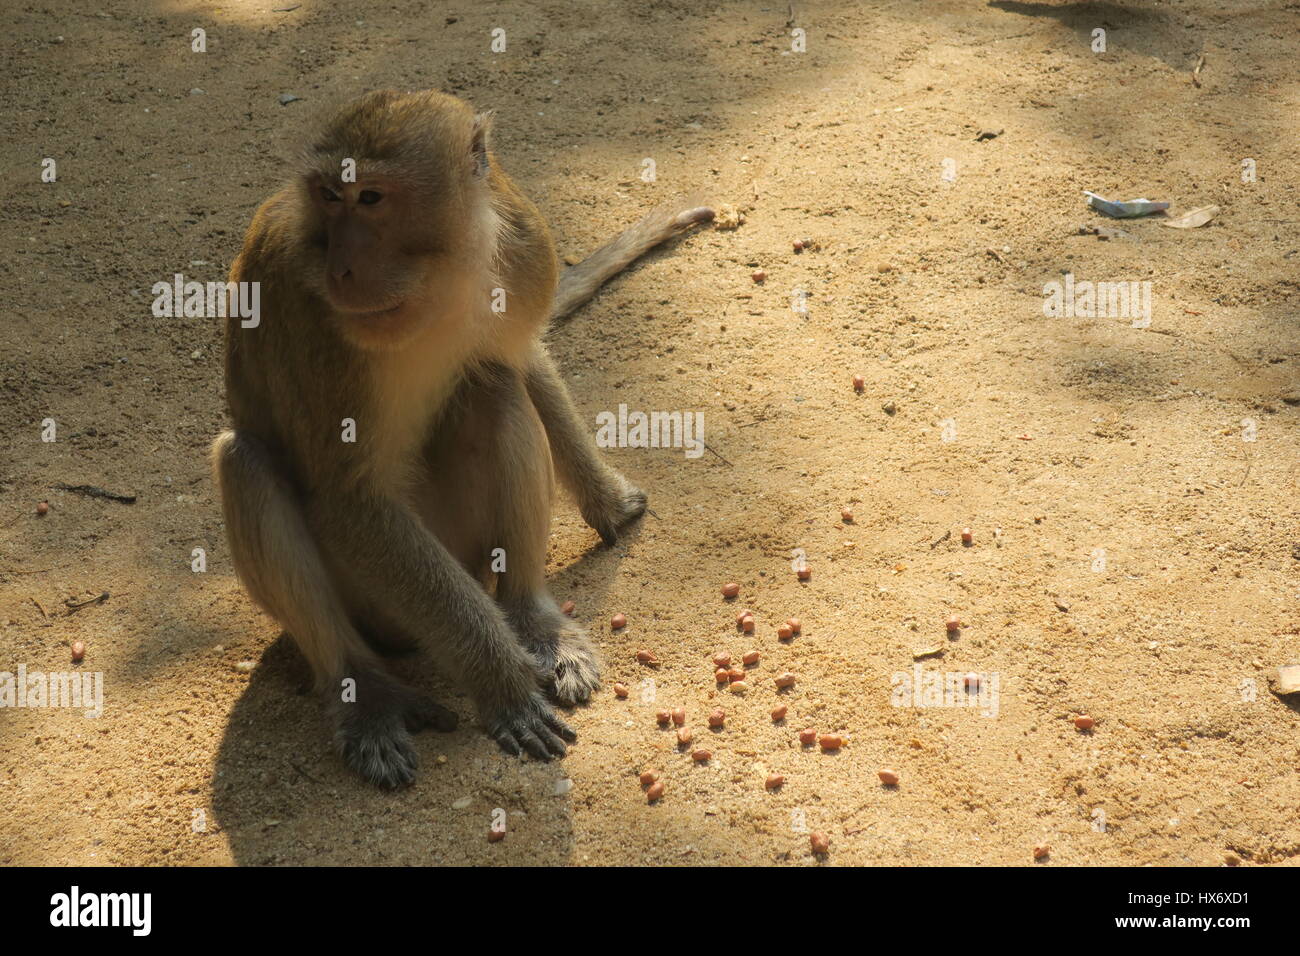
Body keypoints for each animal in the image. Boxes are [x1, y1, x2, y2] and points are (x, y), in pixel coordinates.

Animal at [210, 89, 713, 787]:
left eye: (371, 198)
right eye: (328, 196)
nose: (341, 268)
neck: (437, 280)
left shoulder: (524, 250)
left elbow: (520, 358)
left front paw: (609, 501)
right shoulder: (313, 326)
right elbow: (349, 500)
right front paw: (502, 687)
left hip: (465, 550)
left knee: (492, 386)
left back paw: (534, 620)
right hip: (378, 604)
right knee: (247, 464)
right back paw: (365, 692)